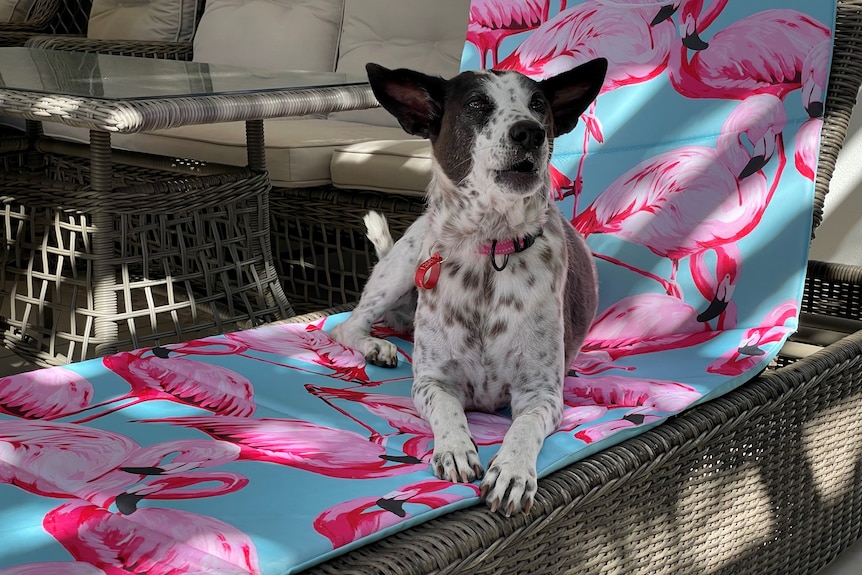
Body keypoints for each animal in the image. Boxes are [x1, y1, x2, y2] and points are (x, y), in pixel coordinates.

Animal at [332, 59, 608, 516]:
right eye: (477, 104)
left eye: (539, 105)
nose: (530, 132)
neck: (490, 250)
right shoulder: (431, 382)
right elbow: (448, 411)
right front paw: (456, 449)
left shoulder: (541, 394)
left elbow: (524, 428)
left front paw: (511, 471)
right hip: (404, 266)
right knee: (347, 325)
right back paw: (376, 346)